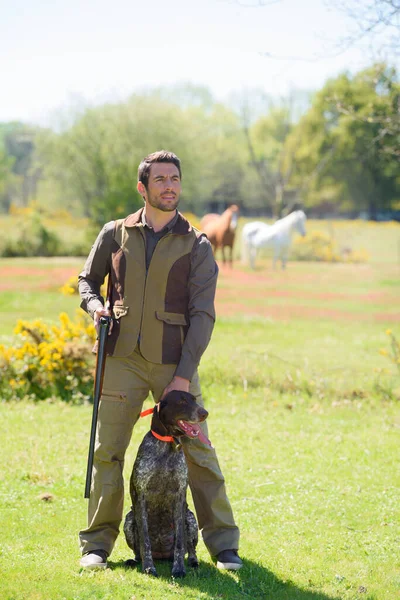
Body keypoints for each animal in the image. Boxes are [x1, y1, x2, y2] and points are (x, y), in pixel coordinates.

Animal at [123, 390, 211, 576]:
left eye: (194, 399)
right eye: (181, 402)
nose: (204, 413)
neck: (167, 445)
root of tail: (162, 556)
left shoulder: (179, 497)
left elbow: (179, 542)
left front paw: (178, 568)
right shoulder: (141, 496)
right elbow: (145, 540)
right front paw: (149, 567)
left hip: (191, 518)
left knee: (190, 548)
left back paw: (193, 561)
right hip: (128, 519)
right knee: (137, 551)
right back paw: (135, 561)